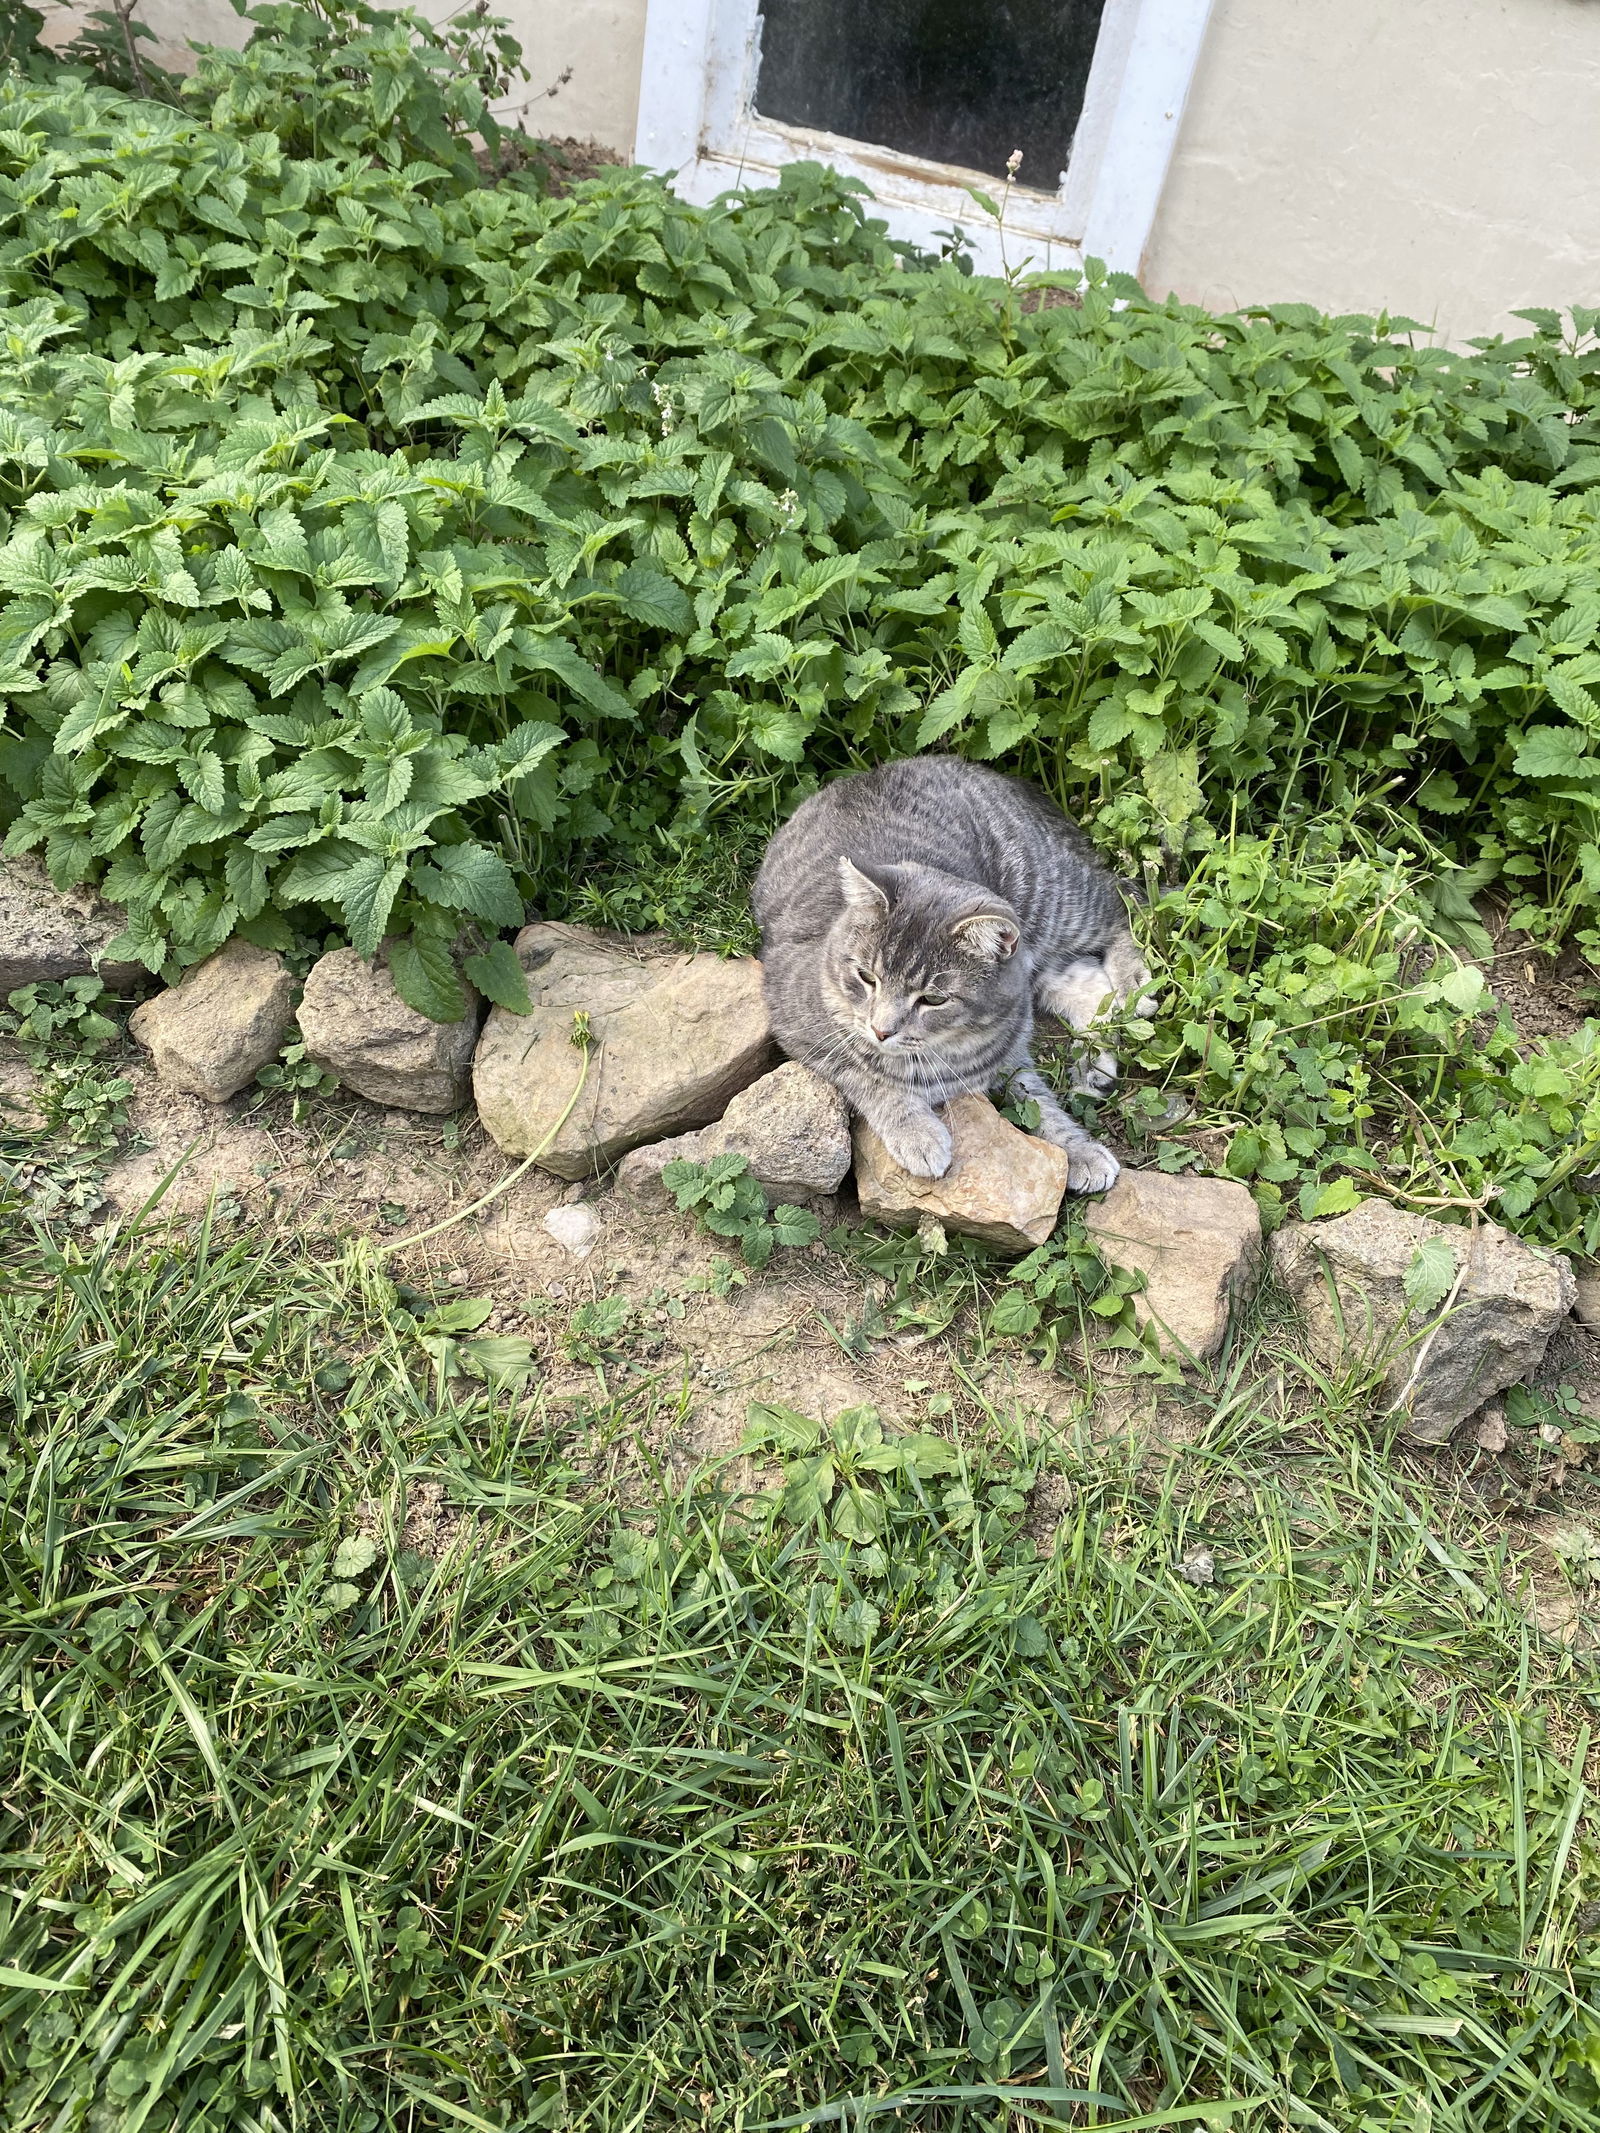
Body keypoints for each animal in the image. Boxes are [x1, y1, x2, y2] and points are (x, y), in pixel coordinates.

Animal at [750, 759, 1152, 1194]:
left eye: (933, 999)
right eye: (866, 977)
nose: (880, 1030)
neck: (944, 1051)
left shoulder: (1010, 1056)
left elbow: (1040, 1105)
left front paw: (1078, 1148)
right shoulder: (799, 1028)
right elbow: (870, 1079)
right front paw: (919, 1134)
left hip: (1054, 901)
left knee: (1125, 901)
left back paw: (1136, 983)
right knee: (1089, 981)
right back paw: (1097, 1064)